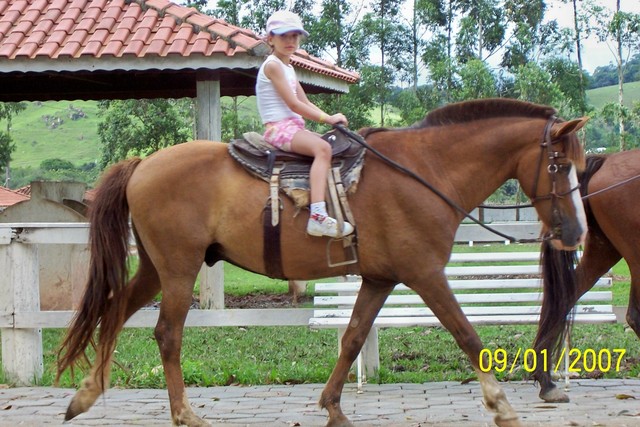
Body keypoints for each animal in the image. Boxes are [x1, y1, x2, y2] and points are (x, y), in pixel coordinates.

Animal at [56, 98, 589, 427]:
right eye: (559, 165)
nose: (577, 233)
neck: (425, 172)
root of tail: (142, 164)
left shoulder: (379, 279)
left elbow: (352, 339)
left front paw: (332, 407)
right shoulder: (425, 275)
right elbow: (469, 337)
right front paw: (501, 406)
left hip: (154, 268)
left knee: (114, 311)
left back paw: (86, 394)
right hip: (179, 269)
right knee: (166, 333)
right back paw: (183, 412)